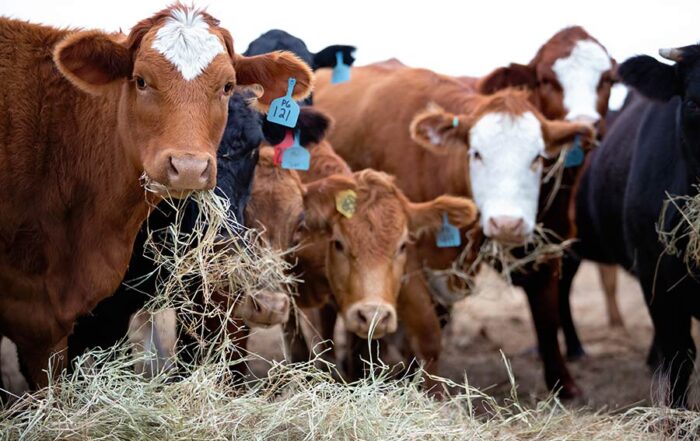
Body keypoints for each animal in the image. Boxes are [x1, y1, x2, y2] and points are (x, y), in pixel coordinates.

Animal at [314, 63, 595, 397]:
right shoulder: (407, 265)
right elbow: (428, 334)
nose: (507, 223)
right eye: (476, 153)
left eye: (537, 157)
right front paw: (431, 395)